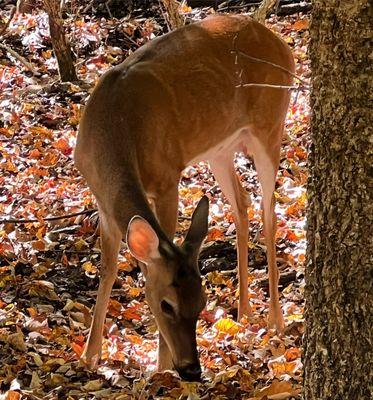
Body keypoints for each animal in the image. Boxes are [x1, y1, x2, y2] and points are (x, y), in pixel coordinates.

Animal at [75, 13, 294, 382]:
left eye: (202, 303)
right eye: (167, 305)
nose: (191, 369)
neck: (114, 129)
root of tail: (282, 43)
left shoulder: (167, 178)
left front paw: (160, 367)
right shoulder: (102, 199)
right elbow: (108, 268)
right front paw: (90, 357)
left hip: (270, 124)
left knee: (270, 211)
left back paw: (275, 320)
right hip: (219, 148)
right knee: (242, 203)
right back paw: (243, 312)